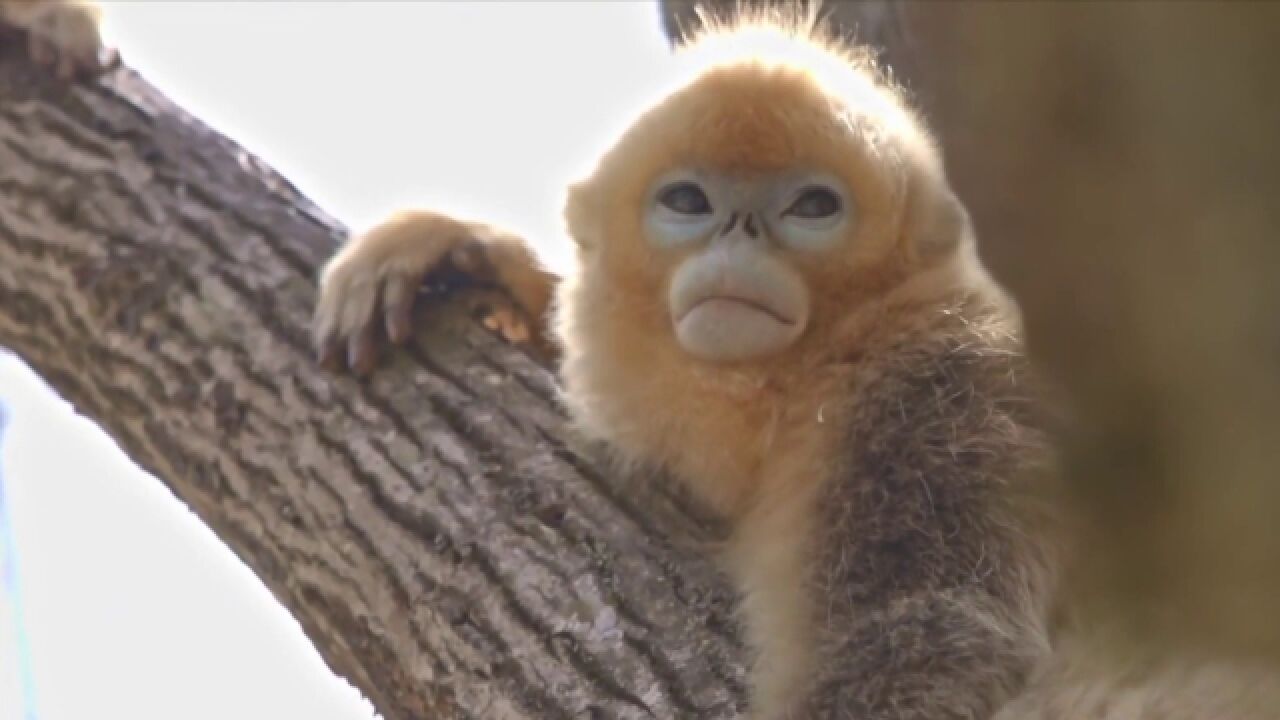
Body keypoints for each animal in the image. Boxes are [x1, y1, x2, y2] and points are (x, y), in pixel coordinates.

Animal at [314, 9, 1054, 717]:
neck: (832, 355)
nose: (739, 234)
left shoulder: (929, 389)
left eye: (813, 206)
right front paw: (466, 254)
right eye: (688, 201)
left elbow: (936, 625)